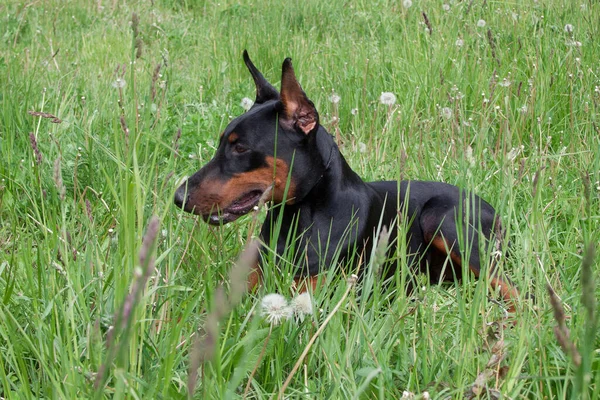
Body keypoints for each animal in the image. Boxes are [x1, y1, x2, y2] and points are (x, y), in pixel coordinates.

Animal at [173, 50, 520, 312]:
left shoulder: (314, 294)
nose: (178, 197)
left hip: (444, 222)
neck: (301, 216)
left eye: (241, 147)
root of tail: (494, 210)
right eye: (222, 142)